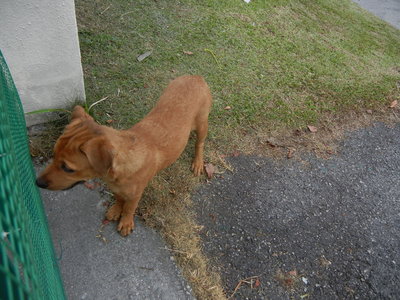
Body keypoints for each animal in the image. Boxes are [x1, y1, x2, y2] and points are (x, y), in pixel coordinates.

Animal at [36, 75, 212, 234]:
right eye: (53, 155)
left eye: (68, 168)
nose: (37, 183)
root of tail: (195, 77)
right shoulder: (115, 187)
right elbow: (119, 199)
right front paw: (116, 209)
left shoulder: (135, 195)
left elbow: (129, 208)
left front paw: (126, 222)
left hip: (202, 124)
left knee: (200, 143)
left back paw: (198, 162)